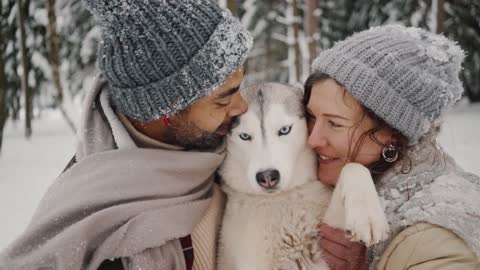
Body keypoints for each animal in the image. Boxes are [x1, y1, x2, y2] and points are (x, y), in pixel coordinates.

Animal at [218, 83, 390, 268]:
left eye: (284, 130)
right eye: (244, 136)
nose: (267, 177)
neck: (285, 197)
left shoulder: (326, 247)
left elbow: (353, 166)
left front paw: (368, 217)